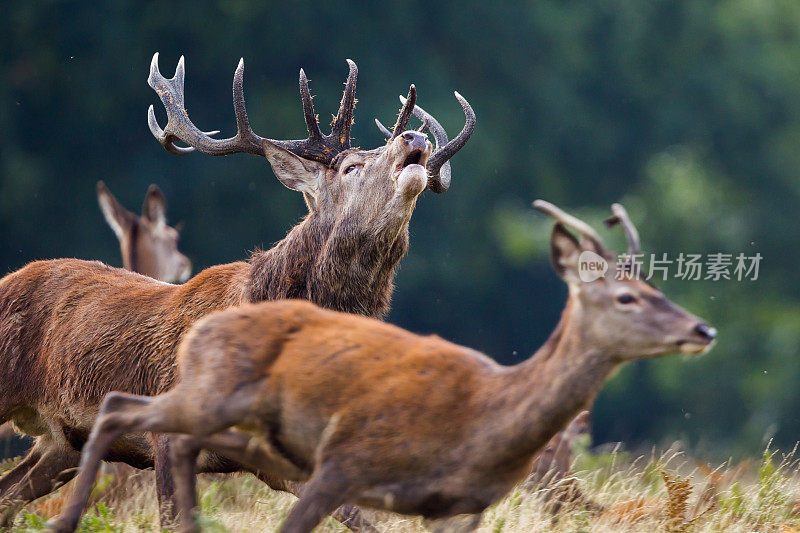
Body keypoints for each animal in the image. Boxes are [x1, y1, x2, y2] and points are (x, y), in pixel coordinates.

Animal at [0, 54, 476, 528]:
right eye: (351, 167)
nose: (414, 135)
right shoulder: (166, 431)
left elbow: (355, 515)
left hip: (60, 444)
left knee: (10, 496)